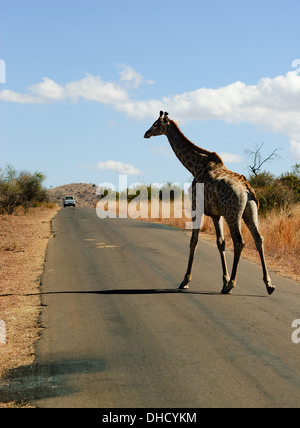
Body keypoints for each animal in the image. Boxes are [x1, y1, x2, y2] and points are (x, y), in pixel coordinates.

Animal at [144, 112, 276, 296]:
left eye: (156, 124)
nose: (146, 133)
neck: (194, 166)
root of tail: (247, 189)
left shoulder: (196, 208)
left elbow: (194, 241)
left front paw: (185, 281)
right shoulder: (215, 214)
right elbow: (220, 243)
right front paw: (223, 280)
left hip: (232, 214)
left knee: (239, 241)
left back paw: (232, 285)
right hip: (250, 211)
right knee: (258, 238)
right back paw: (268, 285)